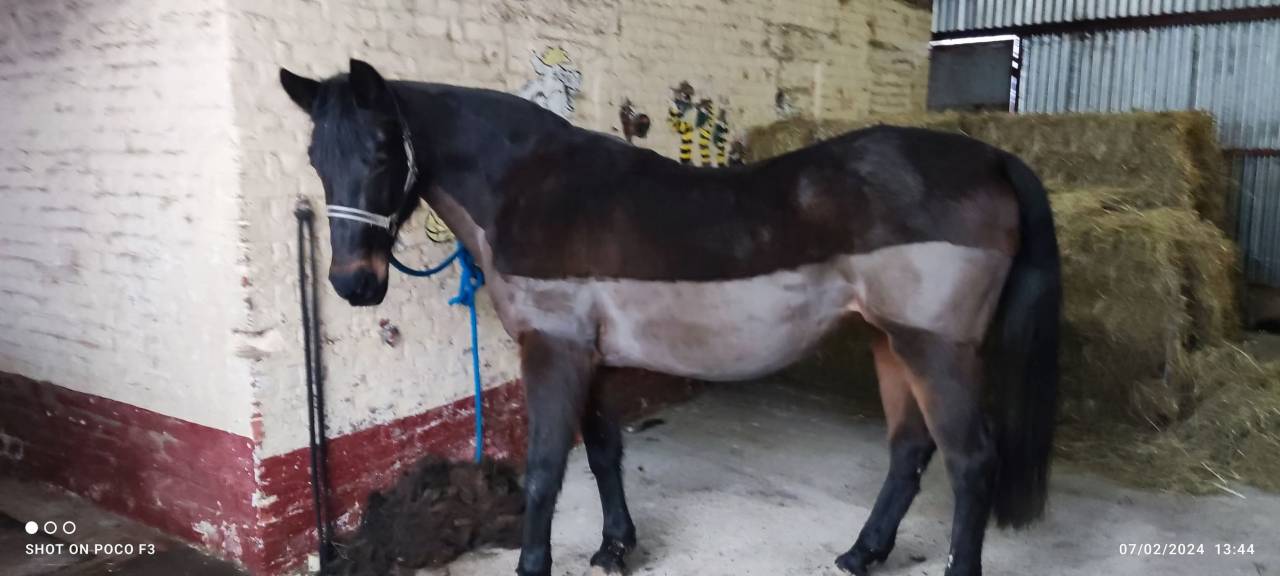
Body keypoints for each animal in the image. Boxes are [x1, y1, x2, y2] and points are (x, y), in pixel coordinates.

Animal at [279, 59, 1061, 576]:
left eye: (384, 150)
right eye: (315, 155)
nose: (354, 284)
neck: (532, 187)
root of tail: (993, 158)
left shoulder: (553, 348)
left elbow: (545, 469)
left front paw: (538, 564)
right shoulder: (589, 353)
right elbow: (602, 452)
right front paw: (614, 545)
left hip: (936, 348)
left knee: (970, 461)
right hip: (888, 340)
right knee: (910, 450)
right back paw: (862, 553)